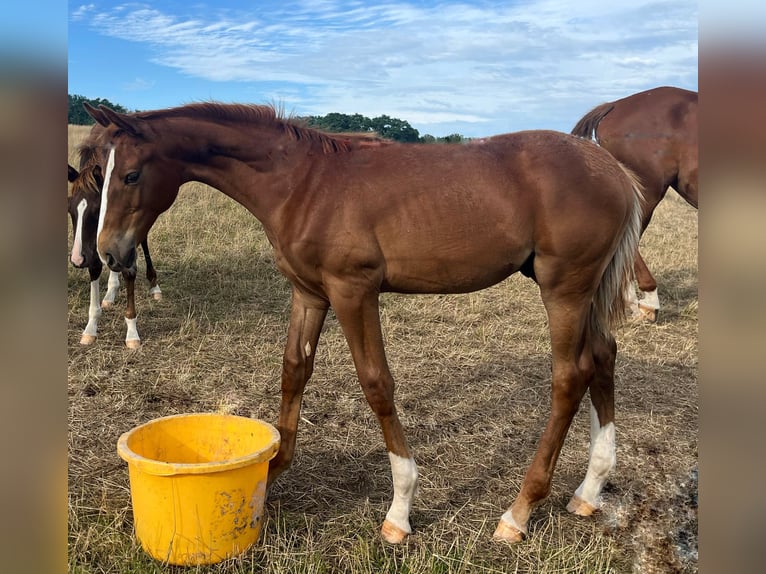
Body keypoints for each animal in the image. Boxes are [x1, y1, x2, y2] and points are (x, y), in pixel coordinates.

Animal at [68, 127, 164, 348]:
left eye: (97, 210)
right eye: (69, 210)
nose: (77, 259)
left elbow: (129, 270)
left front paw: (132, 332)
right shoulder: (93, 246)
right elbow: (96, 267)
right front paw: (90, 328)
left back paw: (154, 286)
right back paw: (111, 292)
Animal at [87, 101, 644, 548]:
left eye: (131, 175)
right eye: (97, 172)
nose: (109, 254)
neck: (303, 183)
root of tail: (614, 170)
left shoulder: (353, 291)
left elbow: (376, 384)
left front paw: (400, 508)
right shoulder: (310, 294)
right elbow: (294, 370)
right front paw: (273, 469)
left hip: (564, 289)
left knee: (569, 377)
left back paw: (519, 512)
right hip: (587, 292)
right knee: (603, 358)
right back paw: (590, 489)